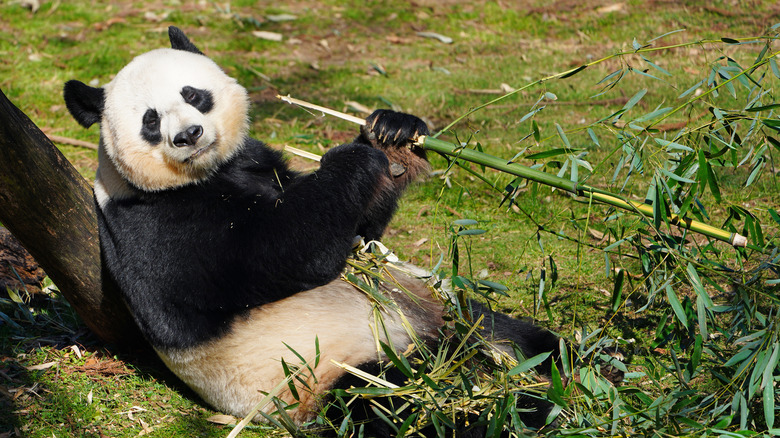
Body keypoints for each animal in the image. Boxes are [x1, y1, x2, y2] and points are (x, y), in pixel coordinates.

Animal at [61, 27, 568, 434]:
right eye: (150, 120)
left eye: (193, 94)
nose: (188, 135)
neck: (205, 174)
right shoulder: (158, 225)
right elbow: (293, 251)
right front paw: (350, 156)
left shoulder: (258, 161)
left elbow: (360, 230)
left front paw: (392, 132)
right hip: (337, 371)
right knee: (406, 402)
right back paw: (518, 408)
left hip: (445, 309)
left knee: (506, 332)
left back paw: (566, 370)